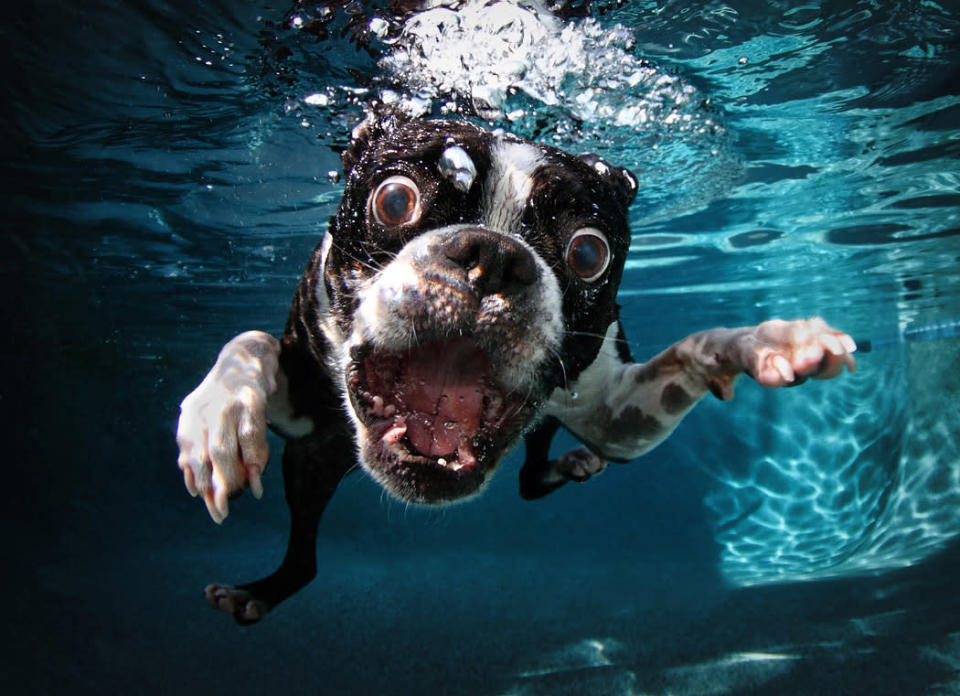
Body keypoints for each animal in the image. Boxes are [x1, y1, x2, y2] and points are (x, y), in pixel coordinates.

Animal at [176, 109, 860, 624]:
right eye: (394, 200)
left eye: (588, 252)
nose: (494, 257)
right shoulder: (301, 412)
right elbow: (250, 339)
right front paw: (217, 420)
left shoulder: (622, 419)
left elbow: (696, 345)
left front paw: (771, 340)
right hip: (310, 462)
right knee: (307, 554)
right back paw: (257, 593)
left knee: (533, 476)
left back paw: (571, 465)